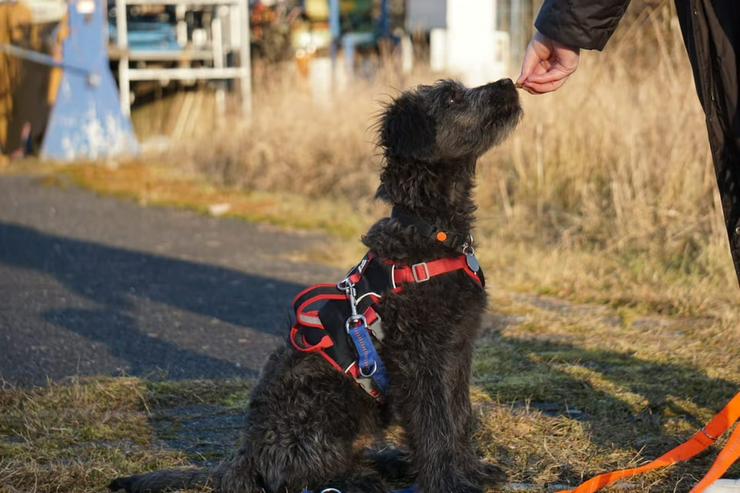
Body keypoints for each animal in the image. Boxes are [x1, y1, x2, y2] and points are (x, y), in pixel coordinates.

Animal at [112, 78, 524, 492]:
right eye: (452, 97)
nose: (507, 82)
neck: (431, 232)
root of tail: (243, 457)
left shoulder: (457, 352)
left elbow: (459, 417)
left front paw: (472, 470)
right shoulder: (420, 361)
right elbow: (435, 427)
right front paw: (449, 483)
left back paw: (387, 463)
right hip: (323, 401)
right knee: (297, 476)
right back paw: (360, 481)